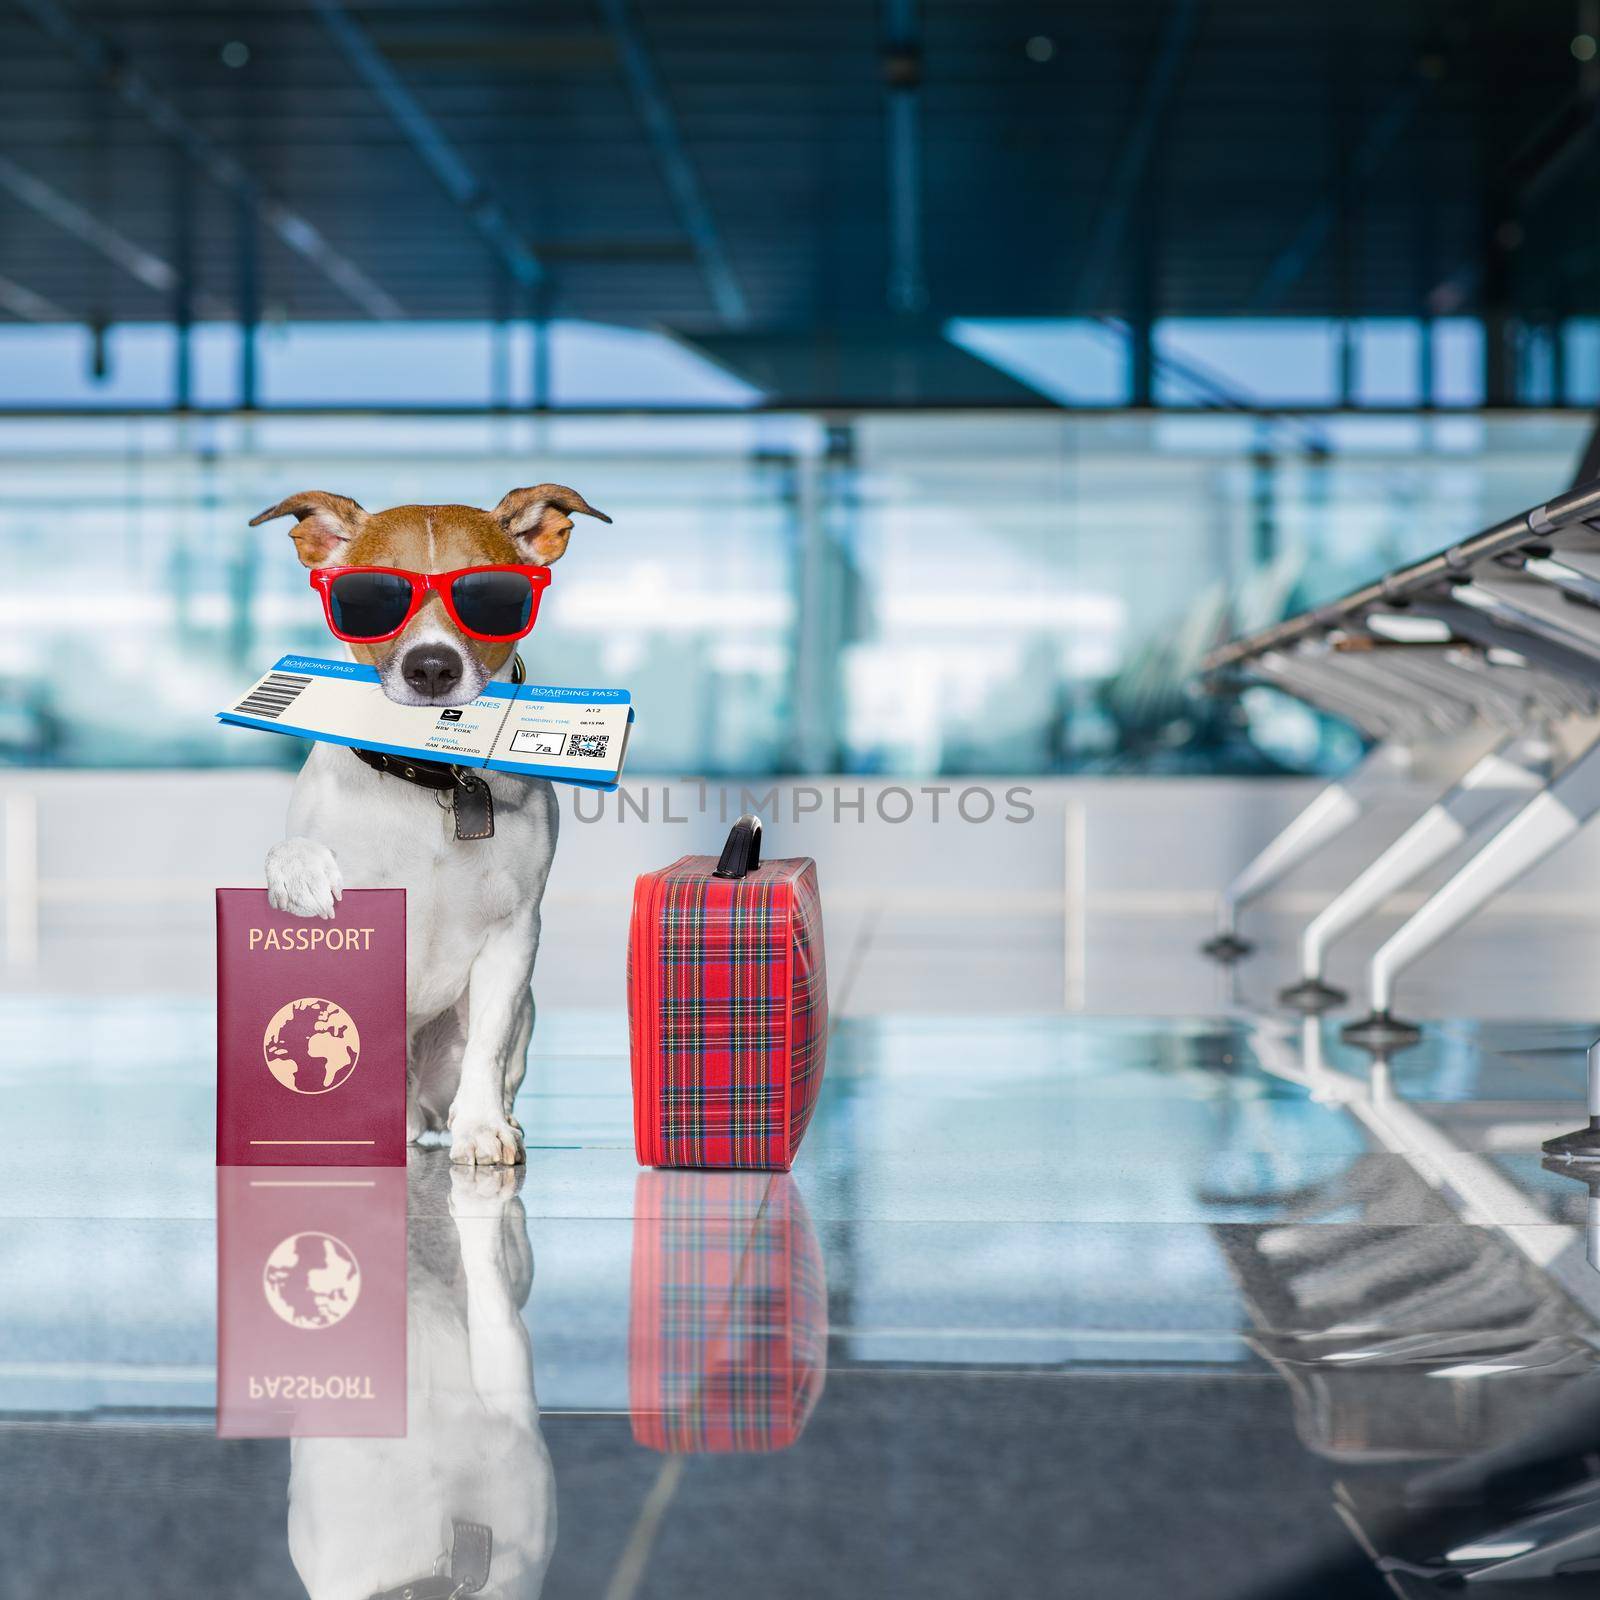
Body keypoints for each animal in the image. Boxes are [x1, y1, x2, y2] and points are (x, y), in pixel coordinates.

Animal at [256, 480, 611, 1171]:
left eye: (492, 594)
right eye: (370, 596)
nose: (431, 667)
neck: (429, 773)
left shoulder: (513, 936)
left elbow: (488, 1047)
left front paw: (482, 1127)